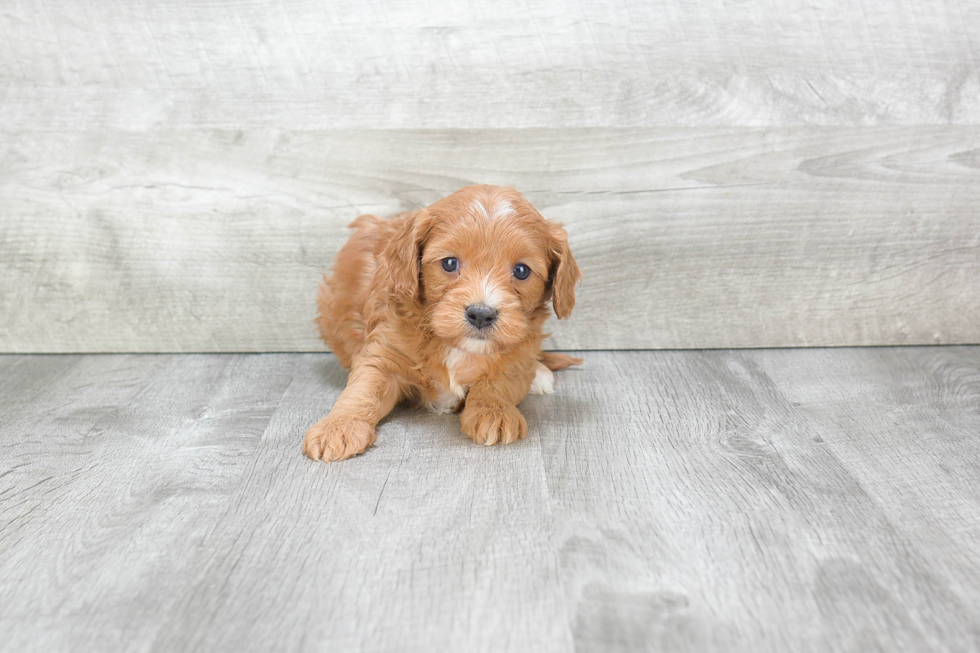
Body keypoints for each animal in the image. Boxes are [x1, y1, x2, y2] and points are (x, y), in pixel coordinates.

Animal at [304, 181, 580, 460]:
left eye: (522, 271)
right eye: (449, 263)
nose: (481, 314)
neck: (458, 347)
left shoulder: (517, 359)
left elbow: (496, 383)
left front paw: (494, 411)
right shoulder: (384, 354)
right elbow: (363, 389)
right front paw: (338, 426)